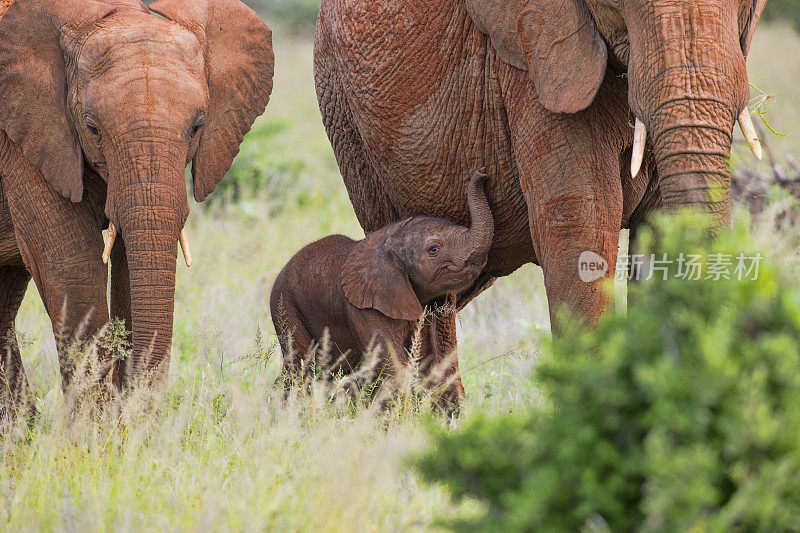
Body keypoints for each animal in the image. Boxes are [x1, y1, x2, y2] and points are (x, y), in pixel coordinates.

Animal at [0, 1, 272, 408]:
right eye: (92, 128)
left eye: (198, 125)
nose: (137, 408)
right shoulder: (21, 136)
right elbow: (72, 264)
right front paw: (97, 425)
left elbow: (130, 266)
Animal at [270, 170, 494, 408]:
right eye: (434, 249)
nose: (482, 173)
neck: (388, 240)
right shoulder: (363, 308)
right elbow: (393, 367)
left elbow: (424, 362)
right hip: (285, 306)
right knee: (302, 367)